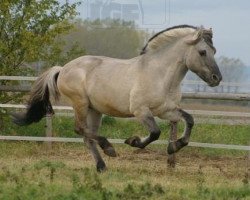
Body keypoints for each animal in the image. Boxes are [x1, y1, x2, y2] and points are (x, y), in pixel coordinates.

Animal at [12, 24, 223, 172]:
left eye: (214, 51)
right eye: (202, 52)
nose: (217, 78)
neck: (160, 75)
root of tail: (63, 68)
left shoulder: (166, 110)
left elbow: (189, 120)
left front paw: (173, 147)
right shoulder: (141, 111)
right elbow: (155, 133)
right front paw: (133, 141)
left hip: (94, 110)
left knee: (87, 136)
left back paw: (102, 166)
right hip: (80, 104)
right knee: (80, 129)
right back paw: (109, 149)